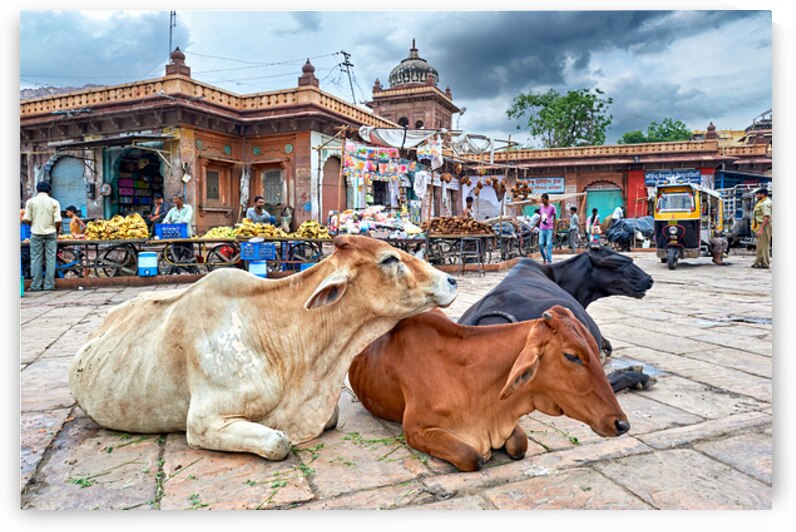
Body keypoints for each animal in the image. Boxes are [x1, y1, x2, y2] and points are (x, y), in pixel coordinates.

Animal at [349, 306, 629, 472]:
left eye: (594, 348)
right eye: (572, 356)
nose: (622, 424)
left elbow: (520, 445)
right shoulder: (415, 429)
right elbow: (472, 457)